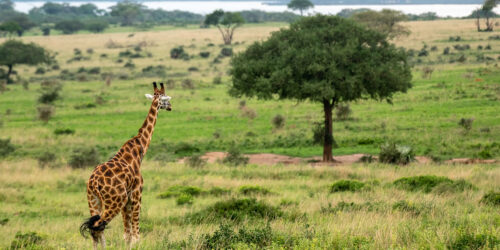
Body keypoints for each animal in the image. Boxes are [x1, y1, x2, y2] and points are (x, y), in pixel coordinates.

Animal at [79, 82, 171, 250]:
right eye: (166, 99)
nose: (170, 107)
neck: (139, 150)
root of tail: (94, 182)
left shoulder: (127, 201)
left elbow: (127, 235)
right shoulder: (136, 195)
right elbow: (135, 235)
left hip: (93, 200)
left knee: (96, 230)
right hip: (114, 201)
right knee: (97, 226)